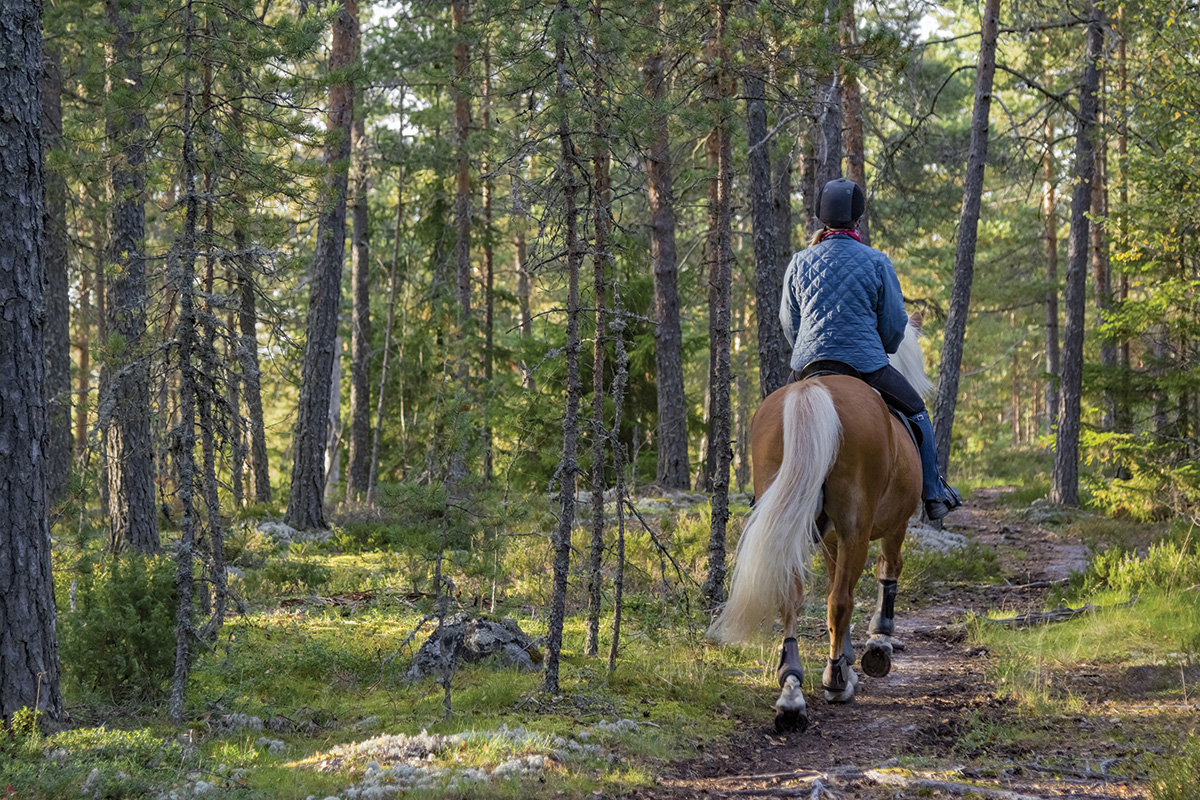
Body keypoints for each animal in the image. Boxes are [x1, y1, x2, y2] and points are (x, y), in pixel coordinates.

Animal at [705, 316, 931, 734]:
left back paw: (791, 691)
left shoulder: (830, 537)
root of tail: (813, 390)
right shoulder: (891, 526)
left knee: (794, 596)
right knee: (840, 599)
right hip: (856, 525)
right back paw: (836, 681)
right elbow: (886, 571)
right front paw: (878, 642)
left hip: (792, 516)